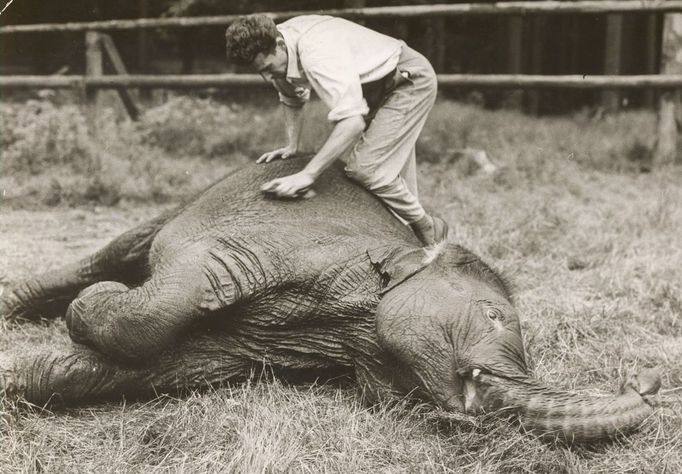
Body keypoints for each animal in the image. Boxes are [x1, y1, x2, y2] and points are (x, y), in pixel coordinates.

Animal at [0, 160, 660, 444]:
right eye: (494, 316)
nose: (647, 381)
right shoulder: (265, 245)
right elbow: (166, 299)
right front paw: (87, 311)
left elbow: (177, 366)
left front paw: (26, 375)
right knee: (123, 250)